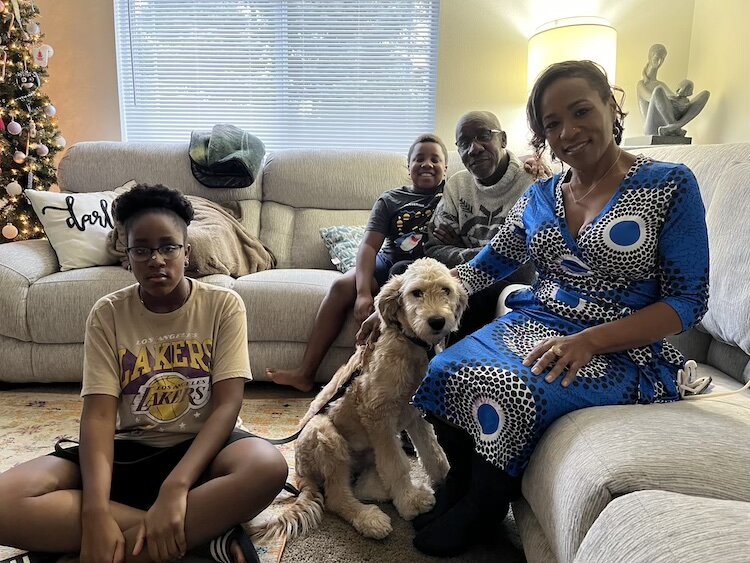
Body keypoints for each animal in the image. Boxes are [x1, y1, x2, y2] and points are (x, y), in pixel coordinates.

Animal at [253, 258, 468, 540]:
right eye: (416, 293)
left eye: (446, 290)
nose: (437, 321)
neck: (411, 346)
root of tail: (300, 473)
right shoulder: (377, 414)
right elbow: (396, 464)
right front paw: (409, 501)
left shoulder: (416, 415)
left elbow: (433, 452)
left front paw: (444, 480)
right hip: (324, 434)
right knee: (336, 496)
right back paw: (369, 518)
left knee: (360, 485)